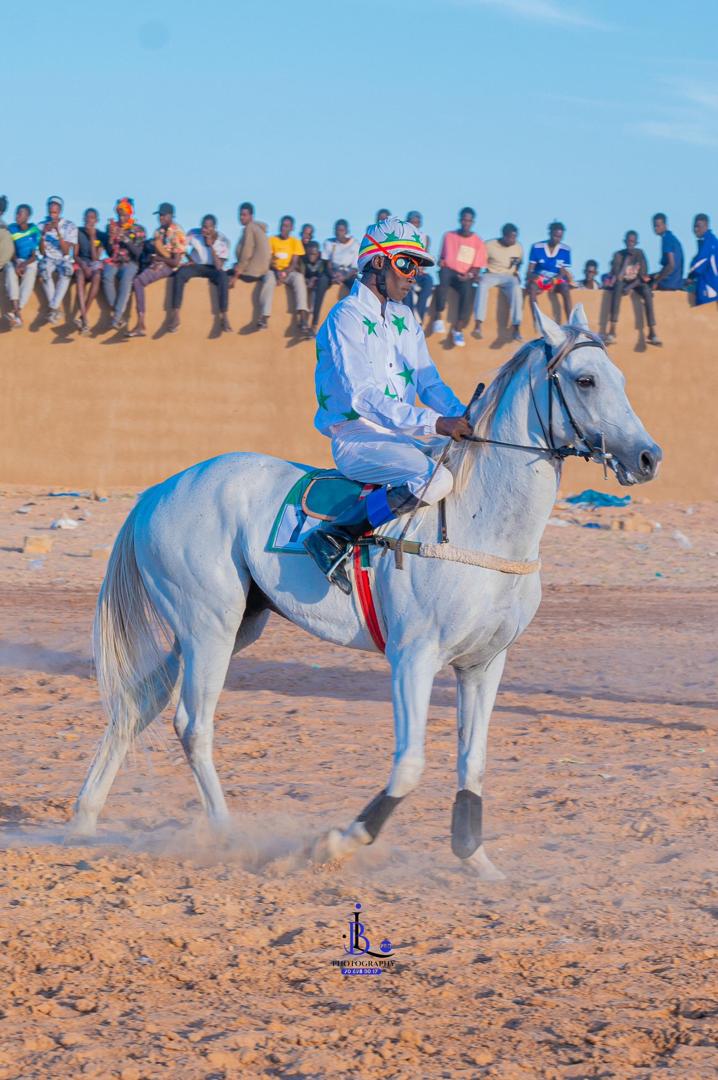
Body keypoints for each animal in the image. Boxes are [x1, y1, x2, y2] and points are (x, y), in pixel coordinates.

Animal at [70, 304, 661, 879]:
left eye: (620, 377)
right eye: (585, 379)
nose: (648, 457)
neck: (481, 525)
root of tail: (159, 489)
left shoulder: (485, 663)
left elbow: (473, 762)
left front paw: (476, 858)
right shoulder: (414, 657)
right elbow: (410, 764)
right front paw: (334, 843)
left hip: (230, 627)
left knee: (138, 702)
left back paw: (84, 819)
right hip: (207, 627)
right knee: (193, 725)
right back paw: (226, 836)